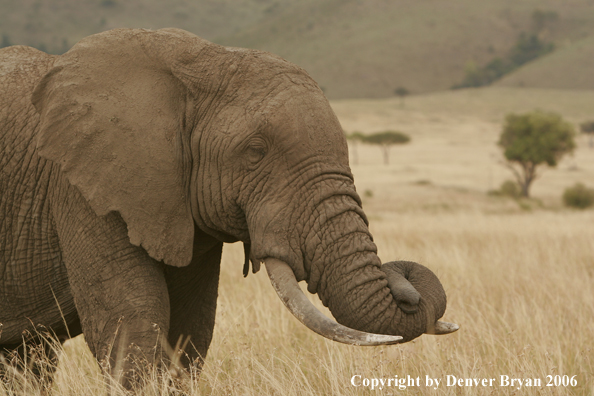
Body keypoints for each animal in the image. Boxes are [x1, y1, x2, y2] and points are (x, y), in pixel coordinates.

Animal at [0, 27, 458, 386]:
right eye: (255, 152)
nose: (406, 287)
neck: (201, 61)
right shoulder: (83, 187)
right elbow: (131, 322)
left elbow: (190, 330)